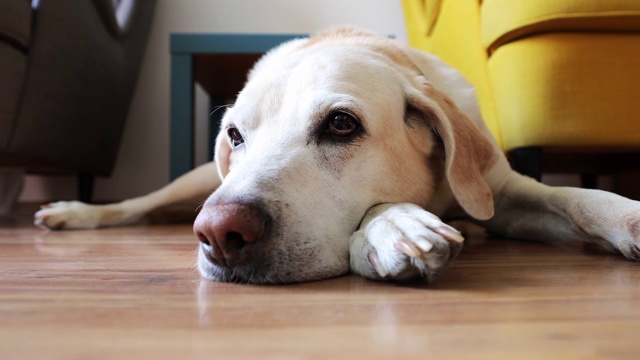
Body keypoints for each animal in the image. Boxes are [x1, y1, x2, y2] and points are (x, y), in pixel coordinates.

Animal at [35, 28, 640, 284]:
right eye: (236, 135)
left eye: (341, 124)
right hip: (198, 179)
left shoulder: (501, 189)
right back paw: (76, 211)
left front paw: (627, 216)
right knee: (139, 203)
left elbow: (575, 196)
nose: (218, 233)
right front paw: (395, 225)